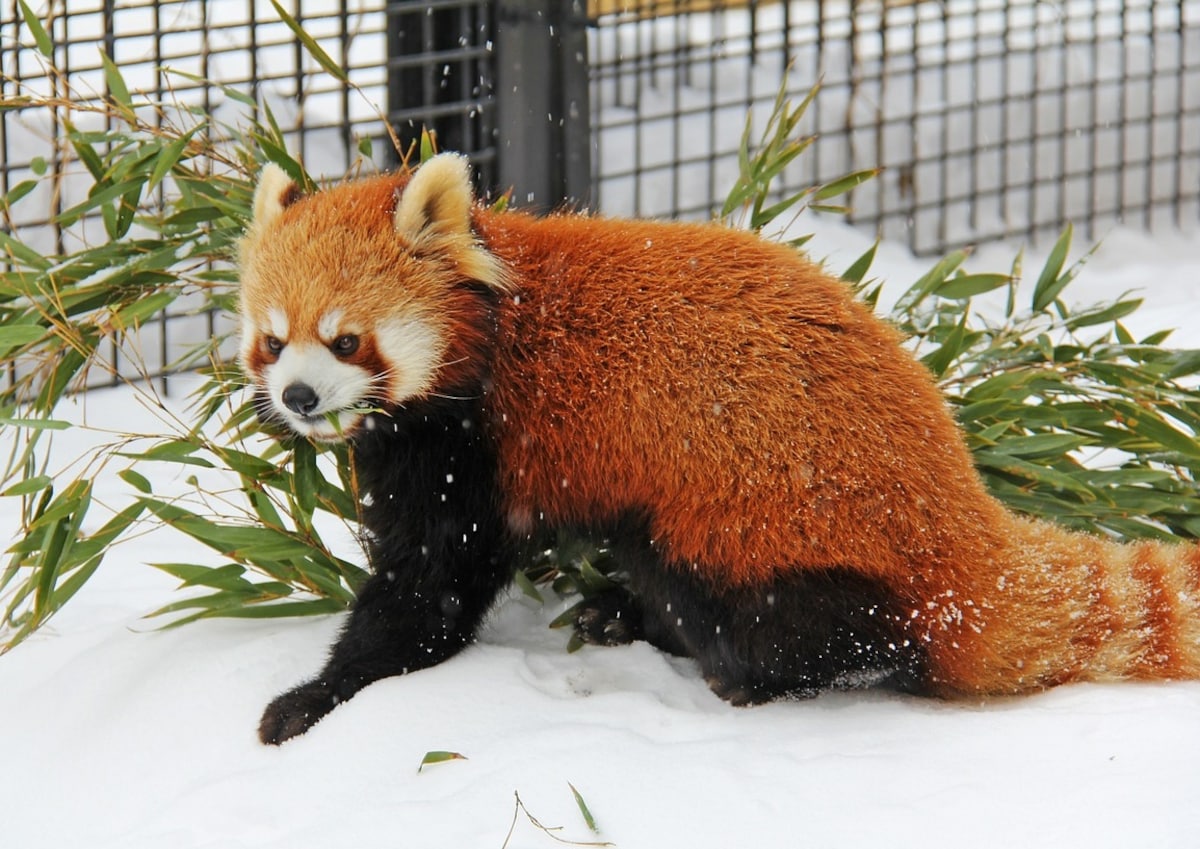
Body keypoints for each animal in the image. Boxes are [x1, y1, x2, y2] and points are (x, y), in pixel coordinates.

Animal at [238, 151, 1200, 743]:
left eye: (347, 340)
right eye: (273, 341)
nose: (298, 397)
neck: (489, 328)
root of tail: (963, 512)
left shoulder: (473, 442)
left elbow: (430, 586)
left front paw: (316, 695)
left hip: (760, 514)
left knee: (794, 615)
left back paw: (739, 668)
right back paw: (623, 616)